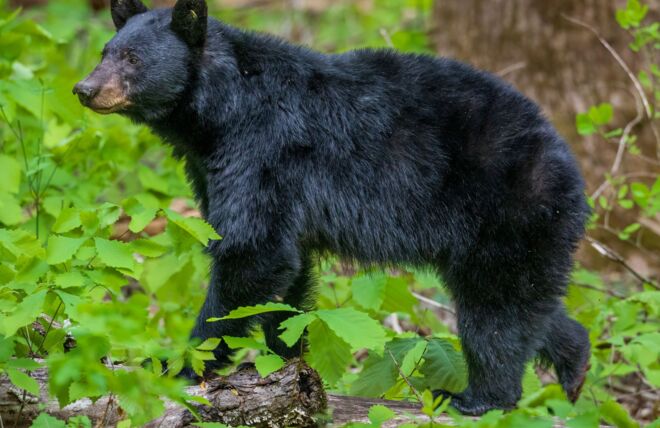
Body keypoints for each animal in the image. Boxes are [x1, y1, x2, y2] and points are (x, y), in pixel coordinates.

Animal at [75, 0, 592, 414]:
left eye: (133, 58)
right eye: (106, 50)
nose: (84, 89)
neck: (222, 109)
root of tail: (569, 165)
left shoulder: (261, 152)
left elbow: (252, 253)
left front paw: (178, 363)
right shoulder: (216, 169)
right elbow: (284, 275)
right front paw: (286, 363)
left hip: (508, 210)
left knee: (495, 314)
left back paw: (478, 397)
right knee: (530, 306)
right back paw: (575, 365)